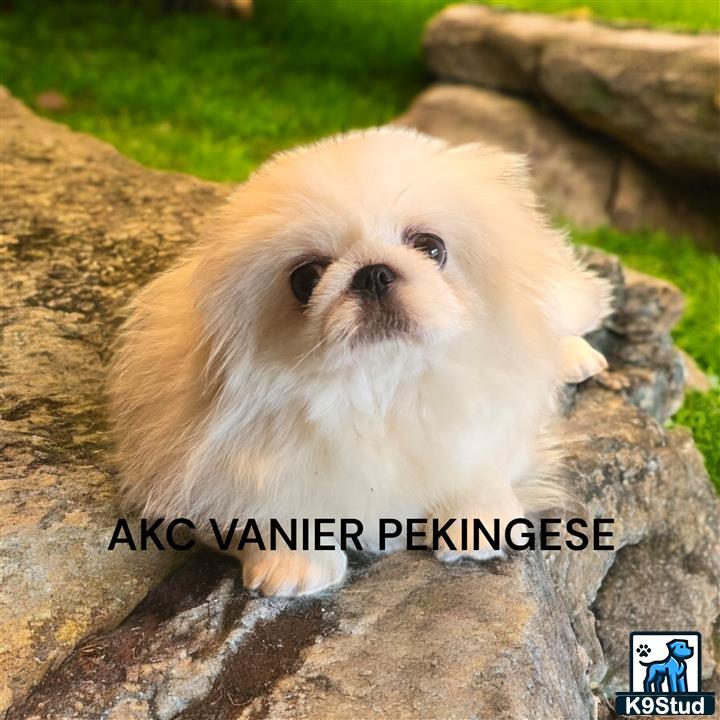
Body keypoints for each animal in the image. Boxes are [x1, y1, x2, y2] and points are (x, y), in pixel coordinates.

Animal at [109, 128, 612, 596]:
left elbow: (477, 459)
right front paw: (295, 561)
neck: (379, 386)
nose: (373, 273)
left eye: (430, 247)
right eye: (306, 278)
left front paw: (476, 516)